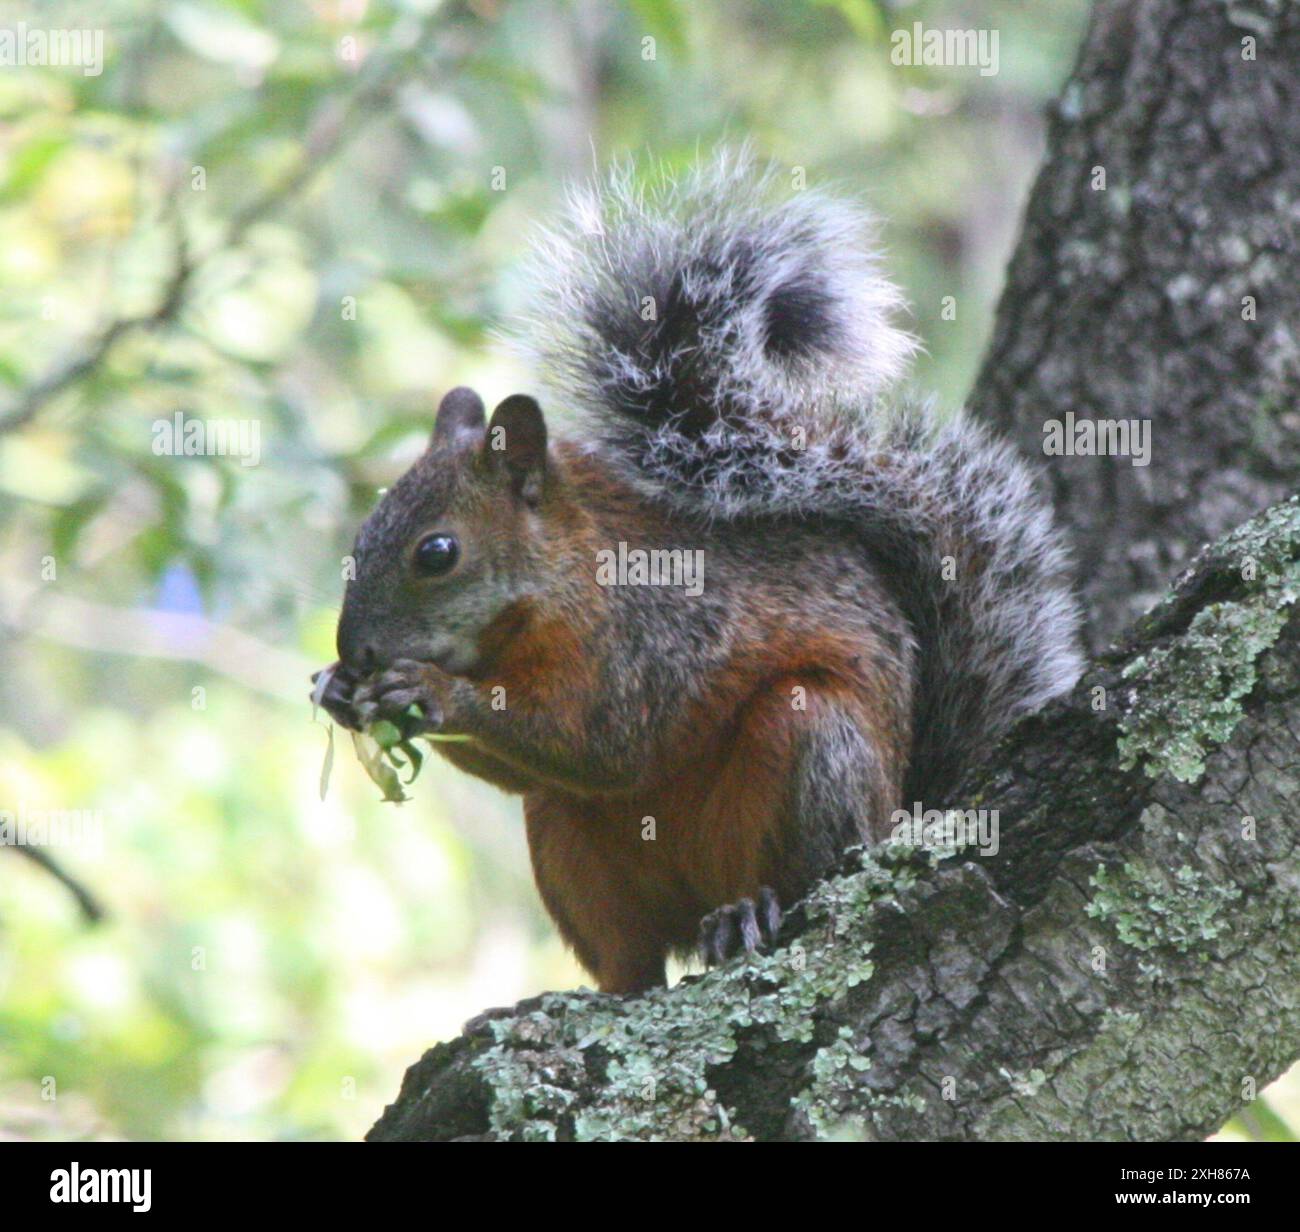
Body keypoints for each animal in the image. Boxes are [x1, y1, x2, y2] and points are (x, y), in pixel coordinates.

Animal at [317, 154, 1086, 998]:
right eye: (362, 532)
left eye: (437, 553)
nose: (355, 651)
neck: (550, 593)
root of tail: (899, 812)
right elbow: (535, 769)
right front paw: (338, 692)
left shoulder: (660, 637)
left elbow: (602, 738)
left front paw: (428, 691)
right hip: (567, 845)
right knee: (628, 951)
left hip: (815, 747)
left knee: (807, 867)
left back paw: (748, 912)